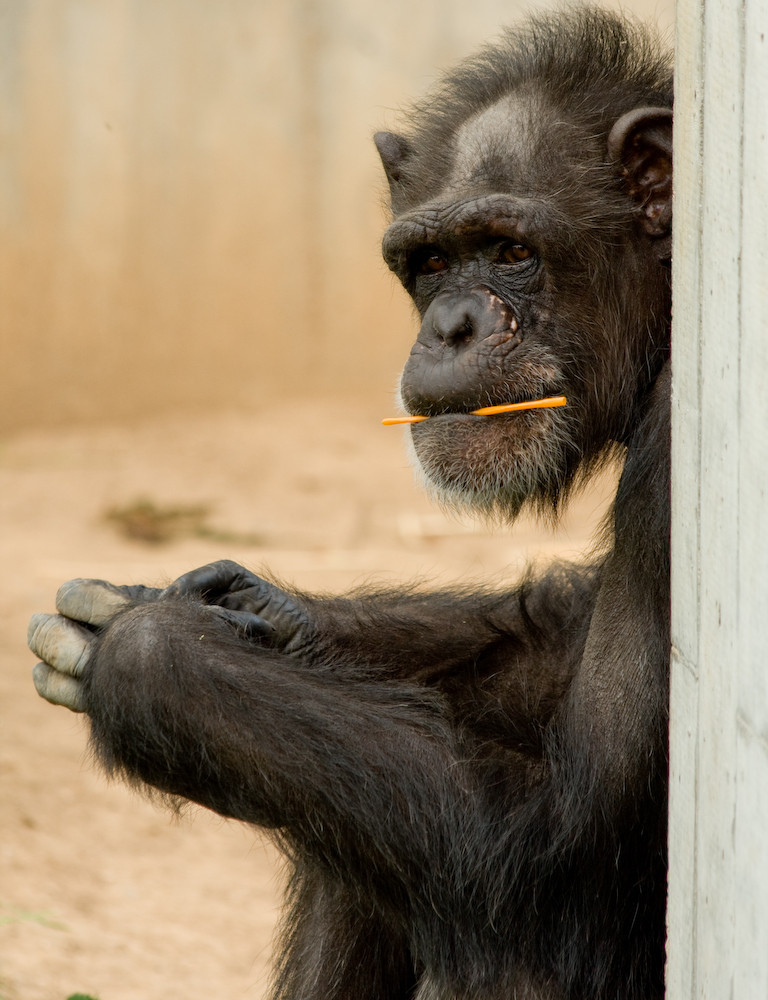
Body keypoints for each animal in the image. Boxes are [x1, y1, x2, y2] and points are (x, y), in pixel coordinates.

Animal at [27, 9, 672, 1000]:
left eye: (512, 251)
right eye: (430, 261)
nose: (449, 326)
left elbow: (573, 837)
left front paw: (149, 652)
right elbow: (559, 627)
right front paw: (266, 611)